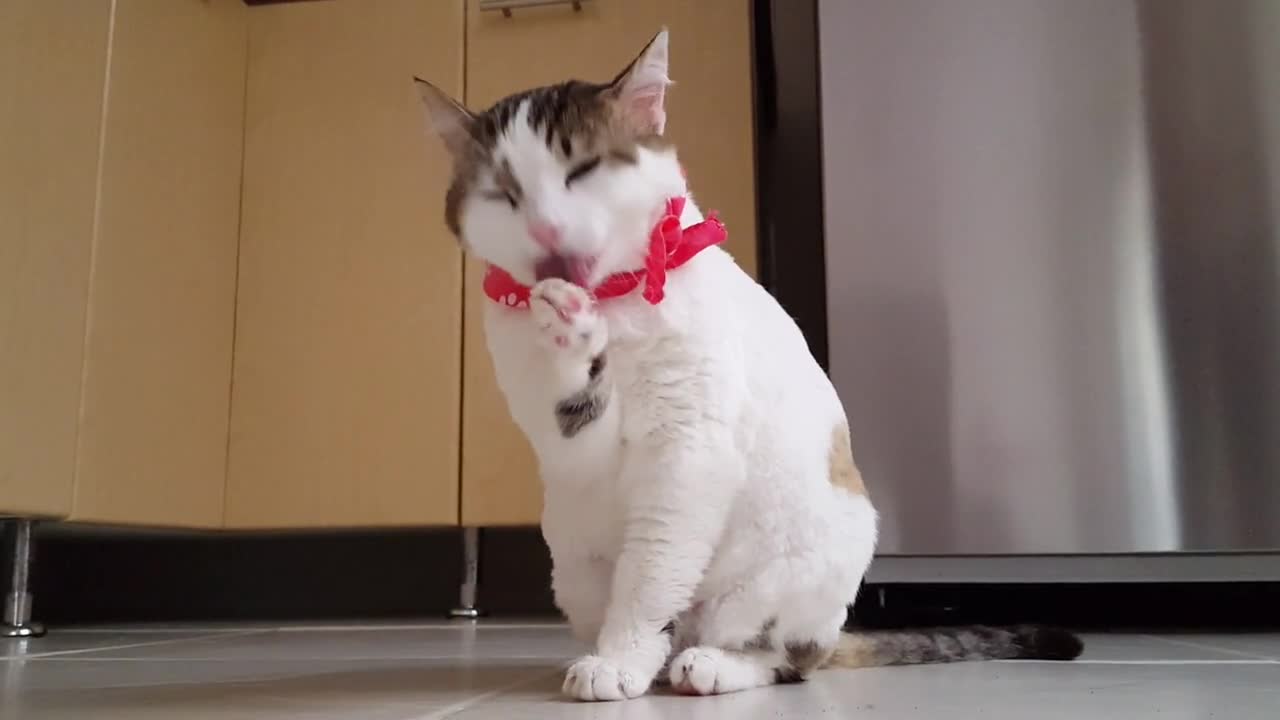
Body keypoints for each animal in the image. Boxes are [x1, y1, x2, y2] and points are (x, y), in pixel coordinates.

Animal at [412, 29, 1080, 702]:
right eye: (504, 194)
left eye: (583, 170)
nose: (548, 230)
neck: (619, 306)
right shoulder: (568, 439)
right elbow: (575, 419)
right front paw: (565, 329)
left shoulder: (689, 448)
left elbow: (650, 572)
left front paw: (620, 659)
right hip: (572, 565)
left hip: (800, 568)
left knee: (786, 656)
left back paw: (709, 664)